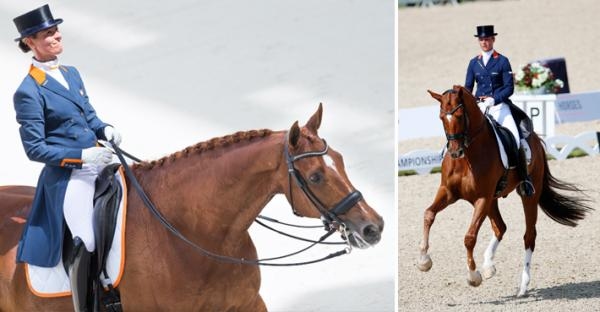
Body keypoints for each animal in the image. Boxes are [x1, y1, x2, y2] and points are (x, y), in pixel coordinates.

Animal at [420, 86, 592, 296]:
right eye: (441, 117)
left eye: (460, 116)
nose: (454, 152)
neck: (468, 156)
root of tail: (536, 139)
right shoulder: (448, 192)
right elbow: (429, 214)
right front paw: (424, 261)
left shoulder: (482, 198)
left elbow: (469, 237)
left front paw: (473, 276)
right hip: (492, 200)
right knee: (500, 227)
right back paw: (488, 266)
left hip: (527, 196)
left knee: (529, 236)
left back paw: (523, 286)